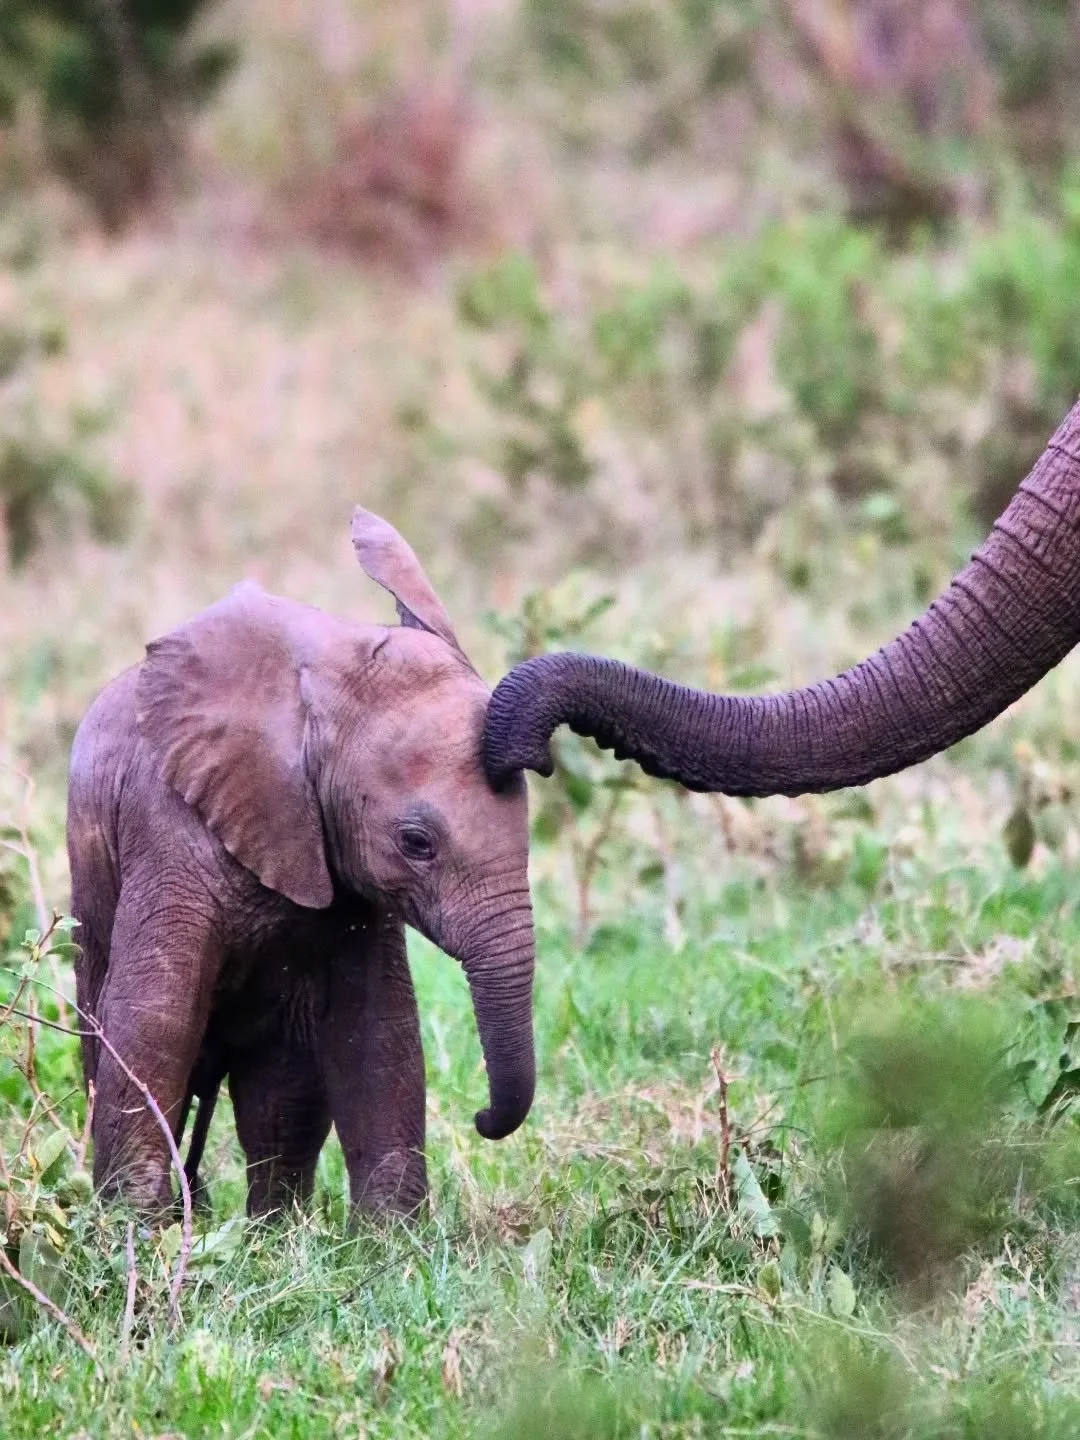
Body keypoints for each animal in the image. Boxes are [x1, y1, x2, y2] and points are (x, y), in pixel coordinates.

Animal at [67, 509, 535, 1218]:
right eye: (416, 842)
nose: (483, 1118)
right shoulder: (168, 821)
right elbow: (153, 1016)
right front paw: (135, 1230)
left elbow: (377, 1028)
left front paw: (393, 1238)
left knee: (281, 1094)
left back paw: (274, 1228)